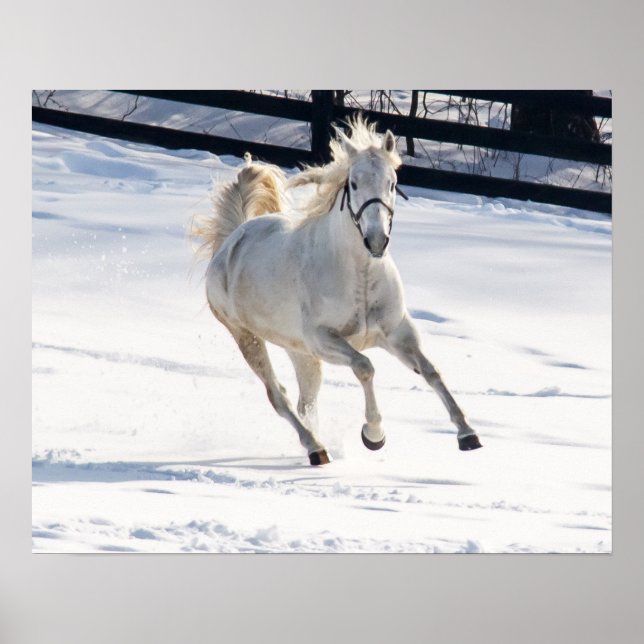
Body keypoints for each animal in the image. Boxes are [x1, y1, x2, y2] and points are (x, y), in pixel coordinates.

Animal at [192, 116, 482, 465]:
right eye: (354, 184)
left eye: (392, 183)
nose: (376, 240)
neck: (360, 277)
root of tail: (233, 239)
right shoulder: (324, 339)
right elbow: (365, 367)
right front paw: (374, 435)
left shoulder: (397, 332)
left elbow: (431, 371)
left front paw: (467, 433)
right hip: (247, 337)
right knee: (278, 395)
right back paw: (315, 448)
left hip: (299, 351)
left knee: (305, 401)